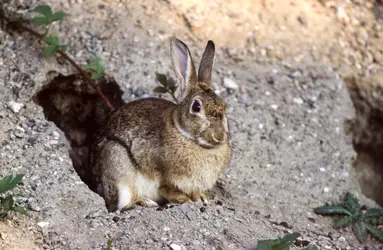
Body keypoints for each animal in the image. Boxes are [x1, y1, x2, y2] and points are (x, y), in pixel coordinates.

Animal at [89, 38, 232, 212]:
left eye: (224, 106)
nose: (219, 136)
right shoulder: (163, 175)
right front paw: (184, 200)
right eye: (196, 107)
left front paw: (202, 198)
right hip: (117, 161)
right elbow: (166, 189)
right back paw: (143, 202)